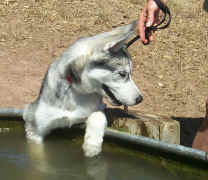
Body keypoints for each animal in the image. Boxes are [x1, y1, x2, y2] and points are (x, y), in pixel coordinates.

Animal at [22, 20, 143, 157]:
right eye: (122, 74)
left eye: (130, 73)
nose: (140, 99)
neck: (76, 91)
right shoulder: (33, 127)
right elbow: (38, 154)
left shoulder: (99, 107)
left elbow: (98, 115)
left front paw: (92, 145)